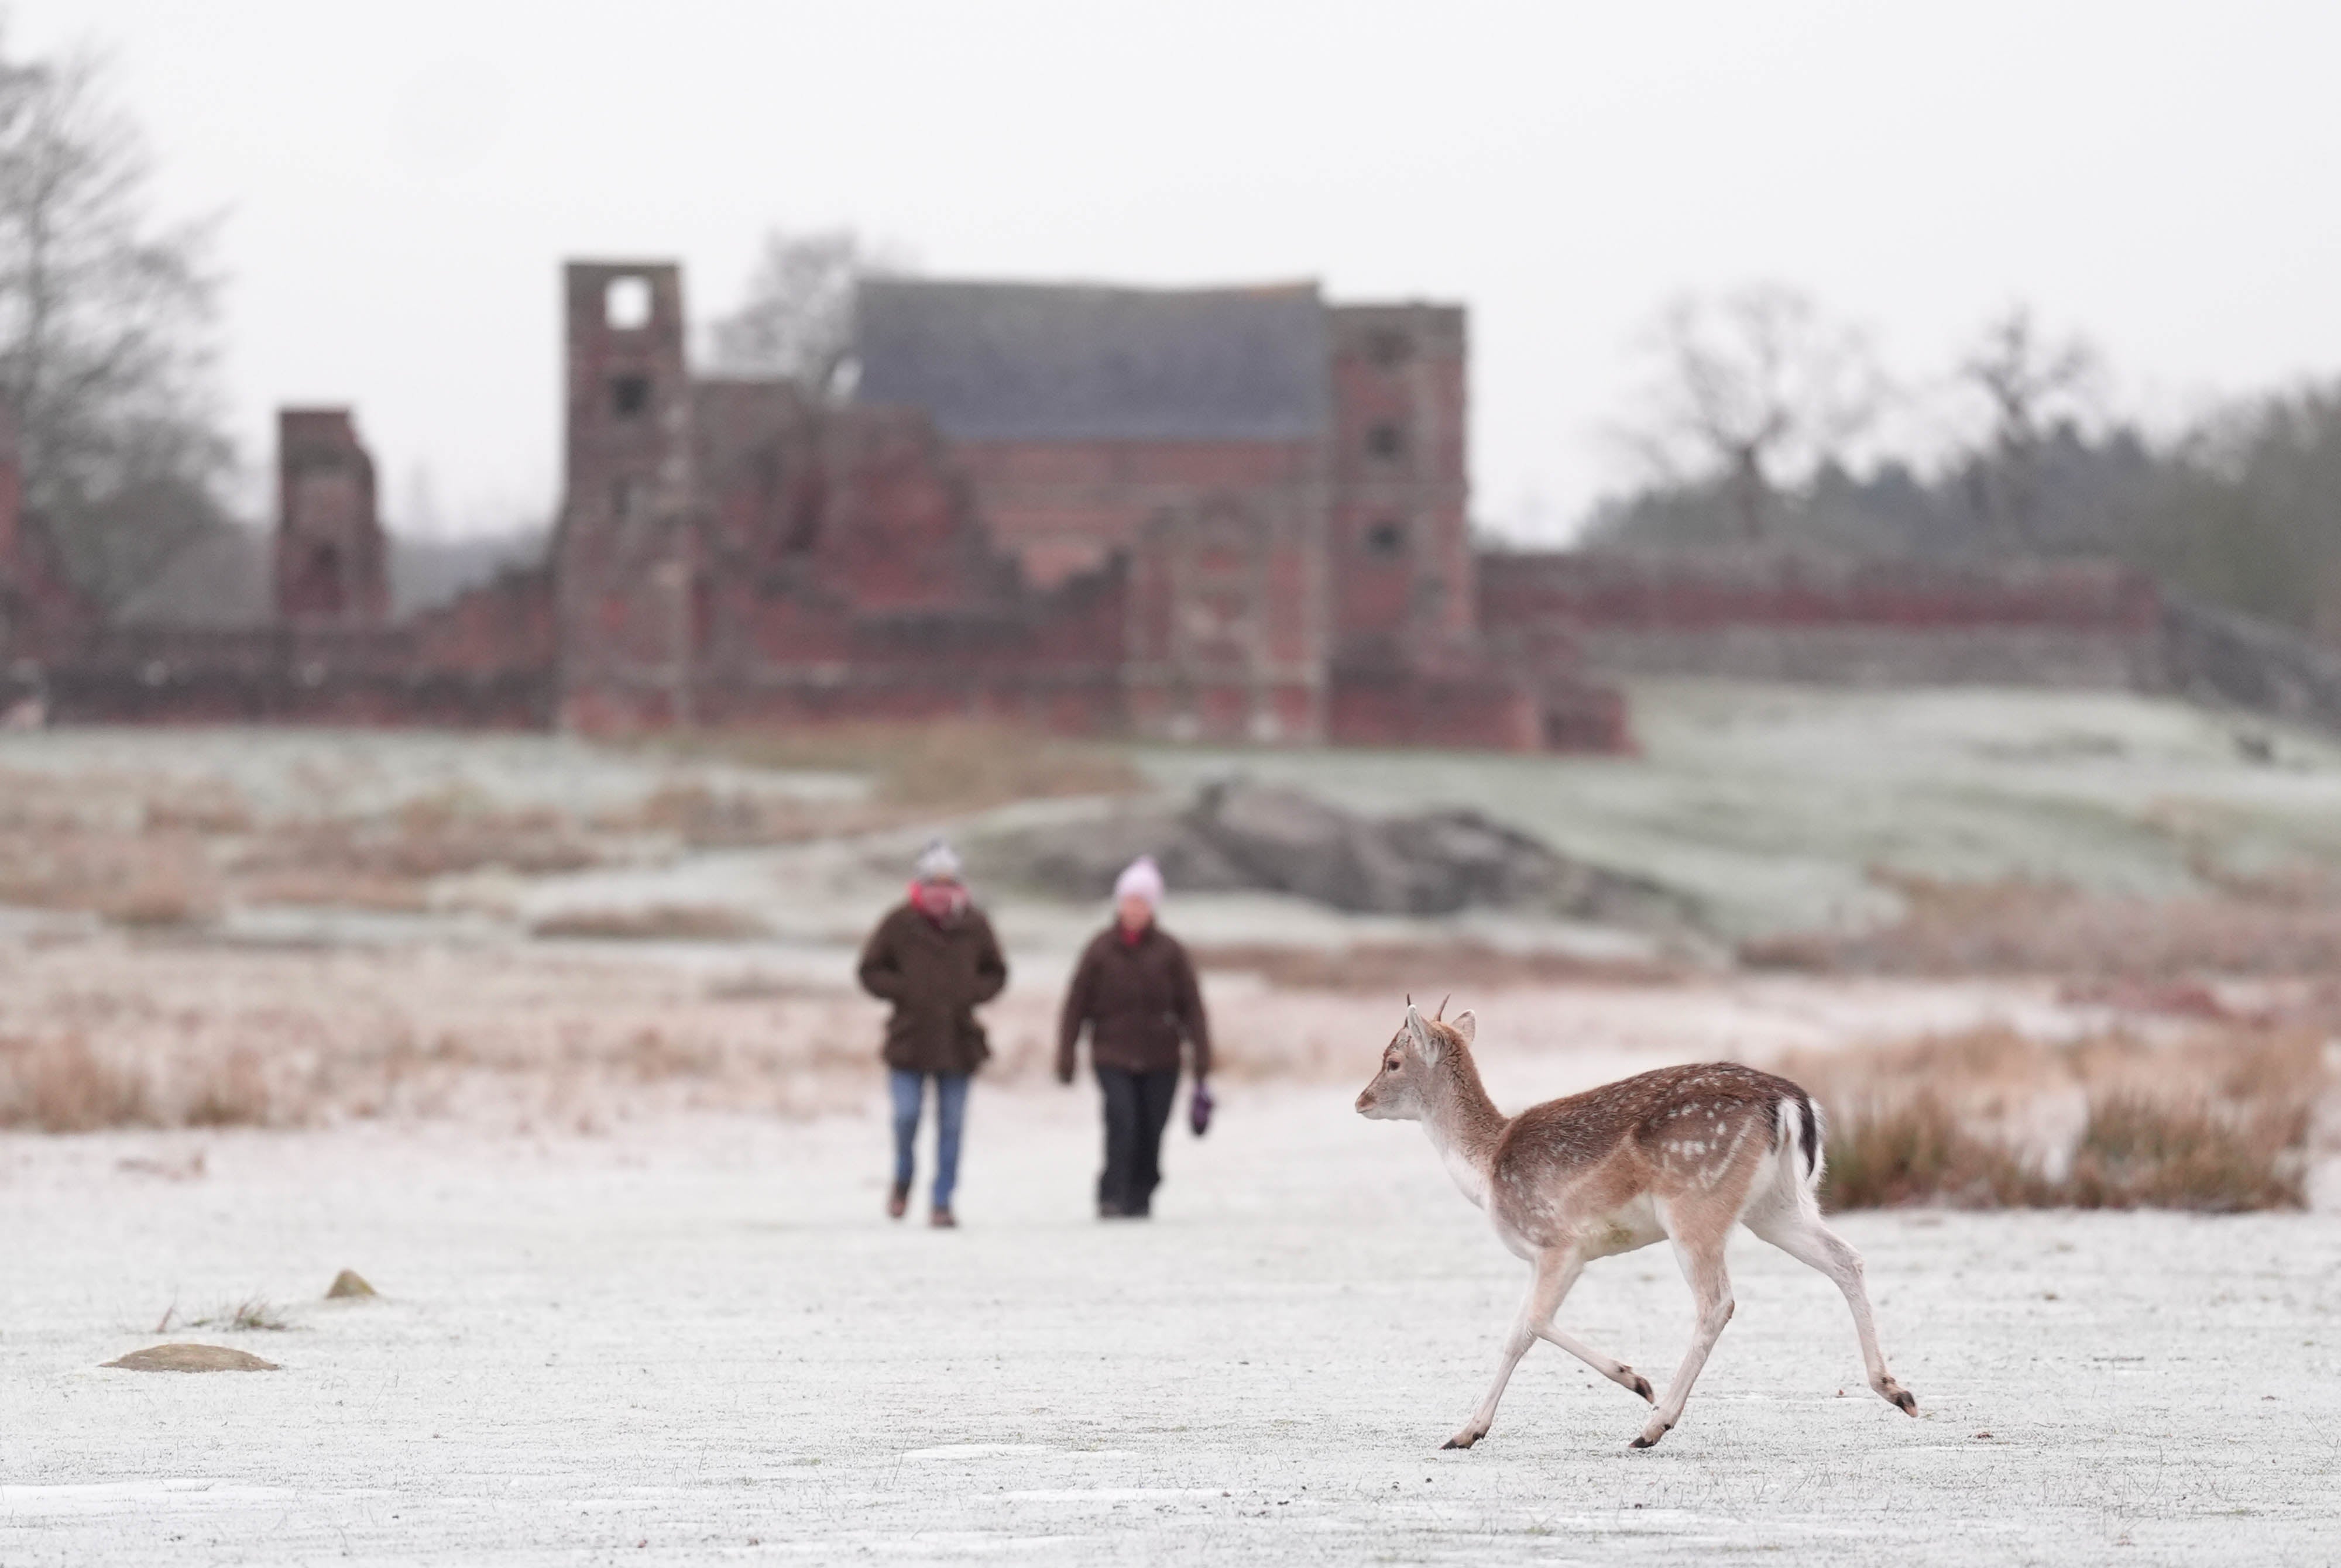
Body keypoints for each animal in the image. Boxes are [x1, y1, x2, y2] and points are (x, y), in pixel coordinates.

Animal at [1358, 1006, 1920, 1451]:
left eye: (1392, 1061)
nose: (1360, 1101)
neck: (1486, 1170)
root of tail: (1790, 1103)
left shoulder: (1560, 1243)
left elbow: (1533, 1324)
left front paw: (1636, 1381)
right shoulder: (1545, 1257)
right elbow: (1515, 1335)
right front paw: (1465, 1432)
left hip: (1696, 1204)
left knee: (1718, 1302)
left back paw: (1654, 1425)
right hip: (1777, 1207)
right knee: (1847, 1258)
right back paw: (1898, 1391)